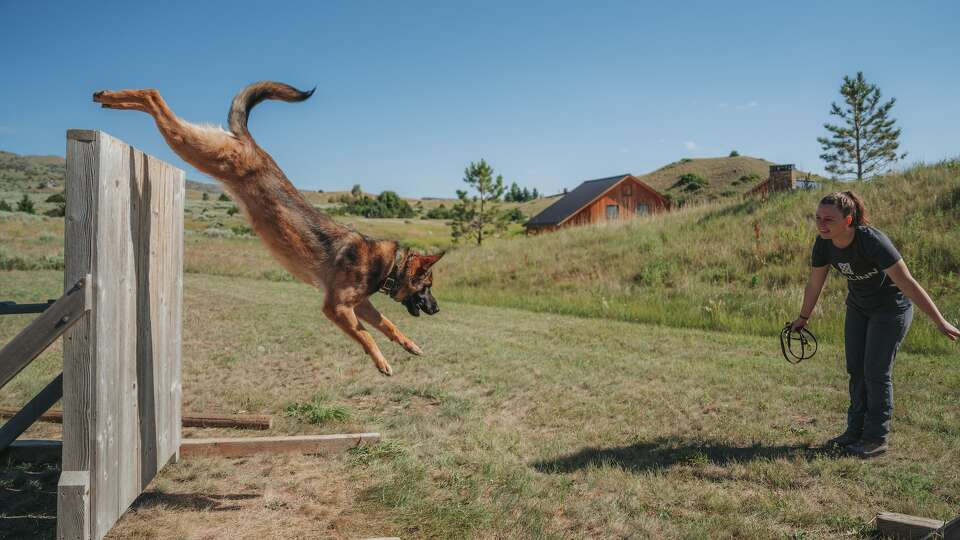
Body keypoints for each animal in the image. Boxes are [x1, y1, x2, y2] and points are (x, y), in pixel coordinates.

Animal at [94, 81, 442, 376]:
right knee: (154, 96)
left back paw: (109, 100)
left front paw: (410, 345)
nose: (437, 309)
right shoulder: (337, 307)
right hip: (201, 151)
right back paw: (110, 96)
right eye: (427, 286)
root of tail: (250, 143)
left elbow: (387, 324)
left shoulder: (361, 305)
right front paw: (382, 362)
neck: (388, 265)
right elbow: (366, 335)